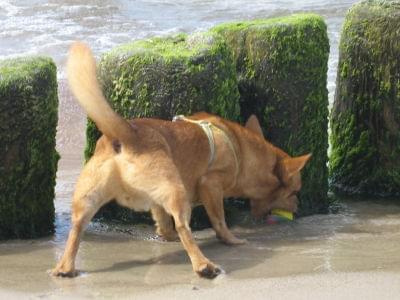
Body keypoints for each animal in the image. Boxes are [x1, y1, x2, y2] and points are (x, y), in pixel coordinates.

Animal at [51, 41, 310, 278]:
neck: (242, 150)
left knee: (77, 228)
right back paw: (203, 264)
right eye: (294, 192)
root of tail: (127, 134)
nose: (299, 207)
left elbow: (163, 223)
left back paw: (64, 267)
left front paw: (167, 235)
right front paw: (229, 239)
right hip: (177, 193)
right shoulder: (211, 186)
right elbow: (219, 220)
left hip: (88, 199)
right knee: (184, 226)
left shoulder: (157, 203)